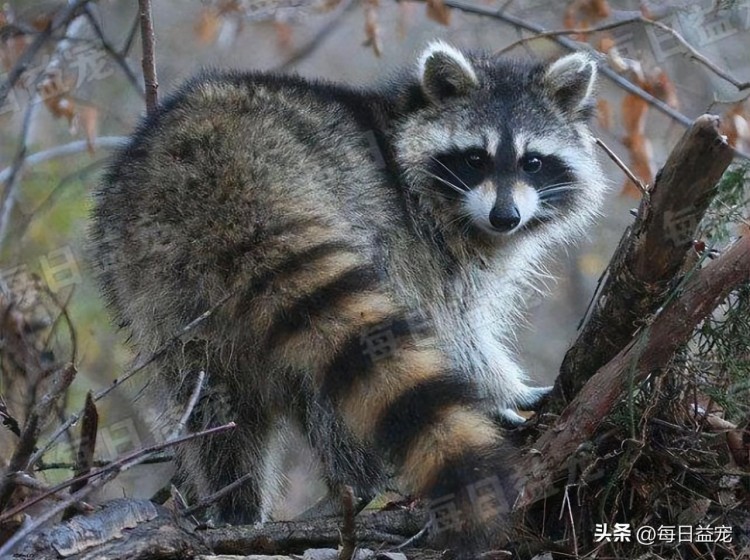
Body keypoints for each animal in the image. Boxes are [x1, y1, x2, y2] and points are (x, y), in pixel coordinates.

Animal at [89, 41, 604, 552]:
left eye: (532, 162)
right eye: (475, 158)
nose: (505, 217)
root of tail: (218, 178)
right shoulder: (414, 239)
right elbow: (450, 329)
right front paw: (504, 392)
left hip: (154, 283)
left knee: (213, 397)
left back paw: (237, 503)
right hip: (344, 221)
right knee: (348, 373)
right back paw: (361, 481)